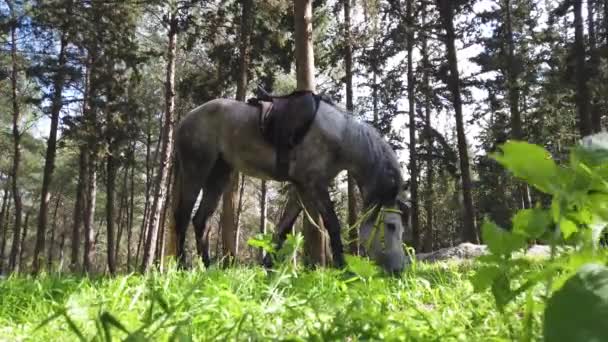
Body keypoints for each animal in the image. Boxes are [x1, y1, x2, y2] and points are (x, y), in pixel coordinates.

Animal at [172, 92, 408, 274]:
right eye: (391, 226)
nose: (399, 270)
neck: (339, 136)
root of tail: (185, 120)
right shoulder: (315, 186)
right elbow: (332, 223)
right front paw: (342, 269)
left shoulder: (301, 188)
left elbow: (283, 228)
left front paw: (267, 268)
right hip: (196, 170)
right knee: (182, 217)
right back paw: (182, 266)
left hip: (219, 175)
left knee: (201, 220)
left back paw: (208, 268)